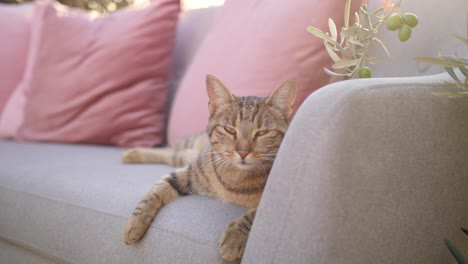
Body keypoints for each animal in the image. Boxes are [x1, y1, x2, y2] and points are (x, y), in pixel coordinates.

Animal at [121, 74, 296, 260]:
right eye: (229, 130)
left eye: (262, 132)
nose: (243, 152)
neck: (236, 177)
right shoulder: (187, 172)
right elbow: (155, 191)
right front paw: (134, 222)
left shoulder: (276, 200)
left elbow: (253, 216)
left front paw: (235, 236)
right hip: (189, 148)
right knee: (170, 149)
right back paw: (131, 153)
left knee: (172, 153)